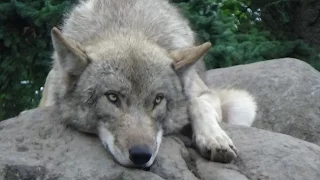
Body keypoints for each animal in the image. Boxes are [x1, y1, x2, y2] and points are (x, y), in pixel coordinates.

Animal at [39, 0, 258, 167]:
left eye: (158, 99)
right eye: (112, 97)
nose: (141, 155)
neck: (126, 25)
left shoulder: (204, 93)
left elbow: (197, 103)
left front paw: (214, 139)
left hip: (243, 103)